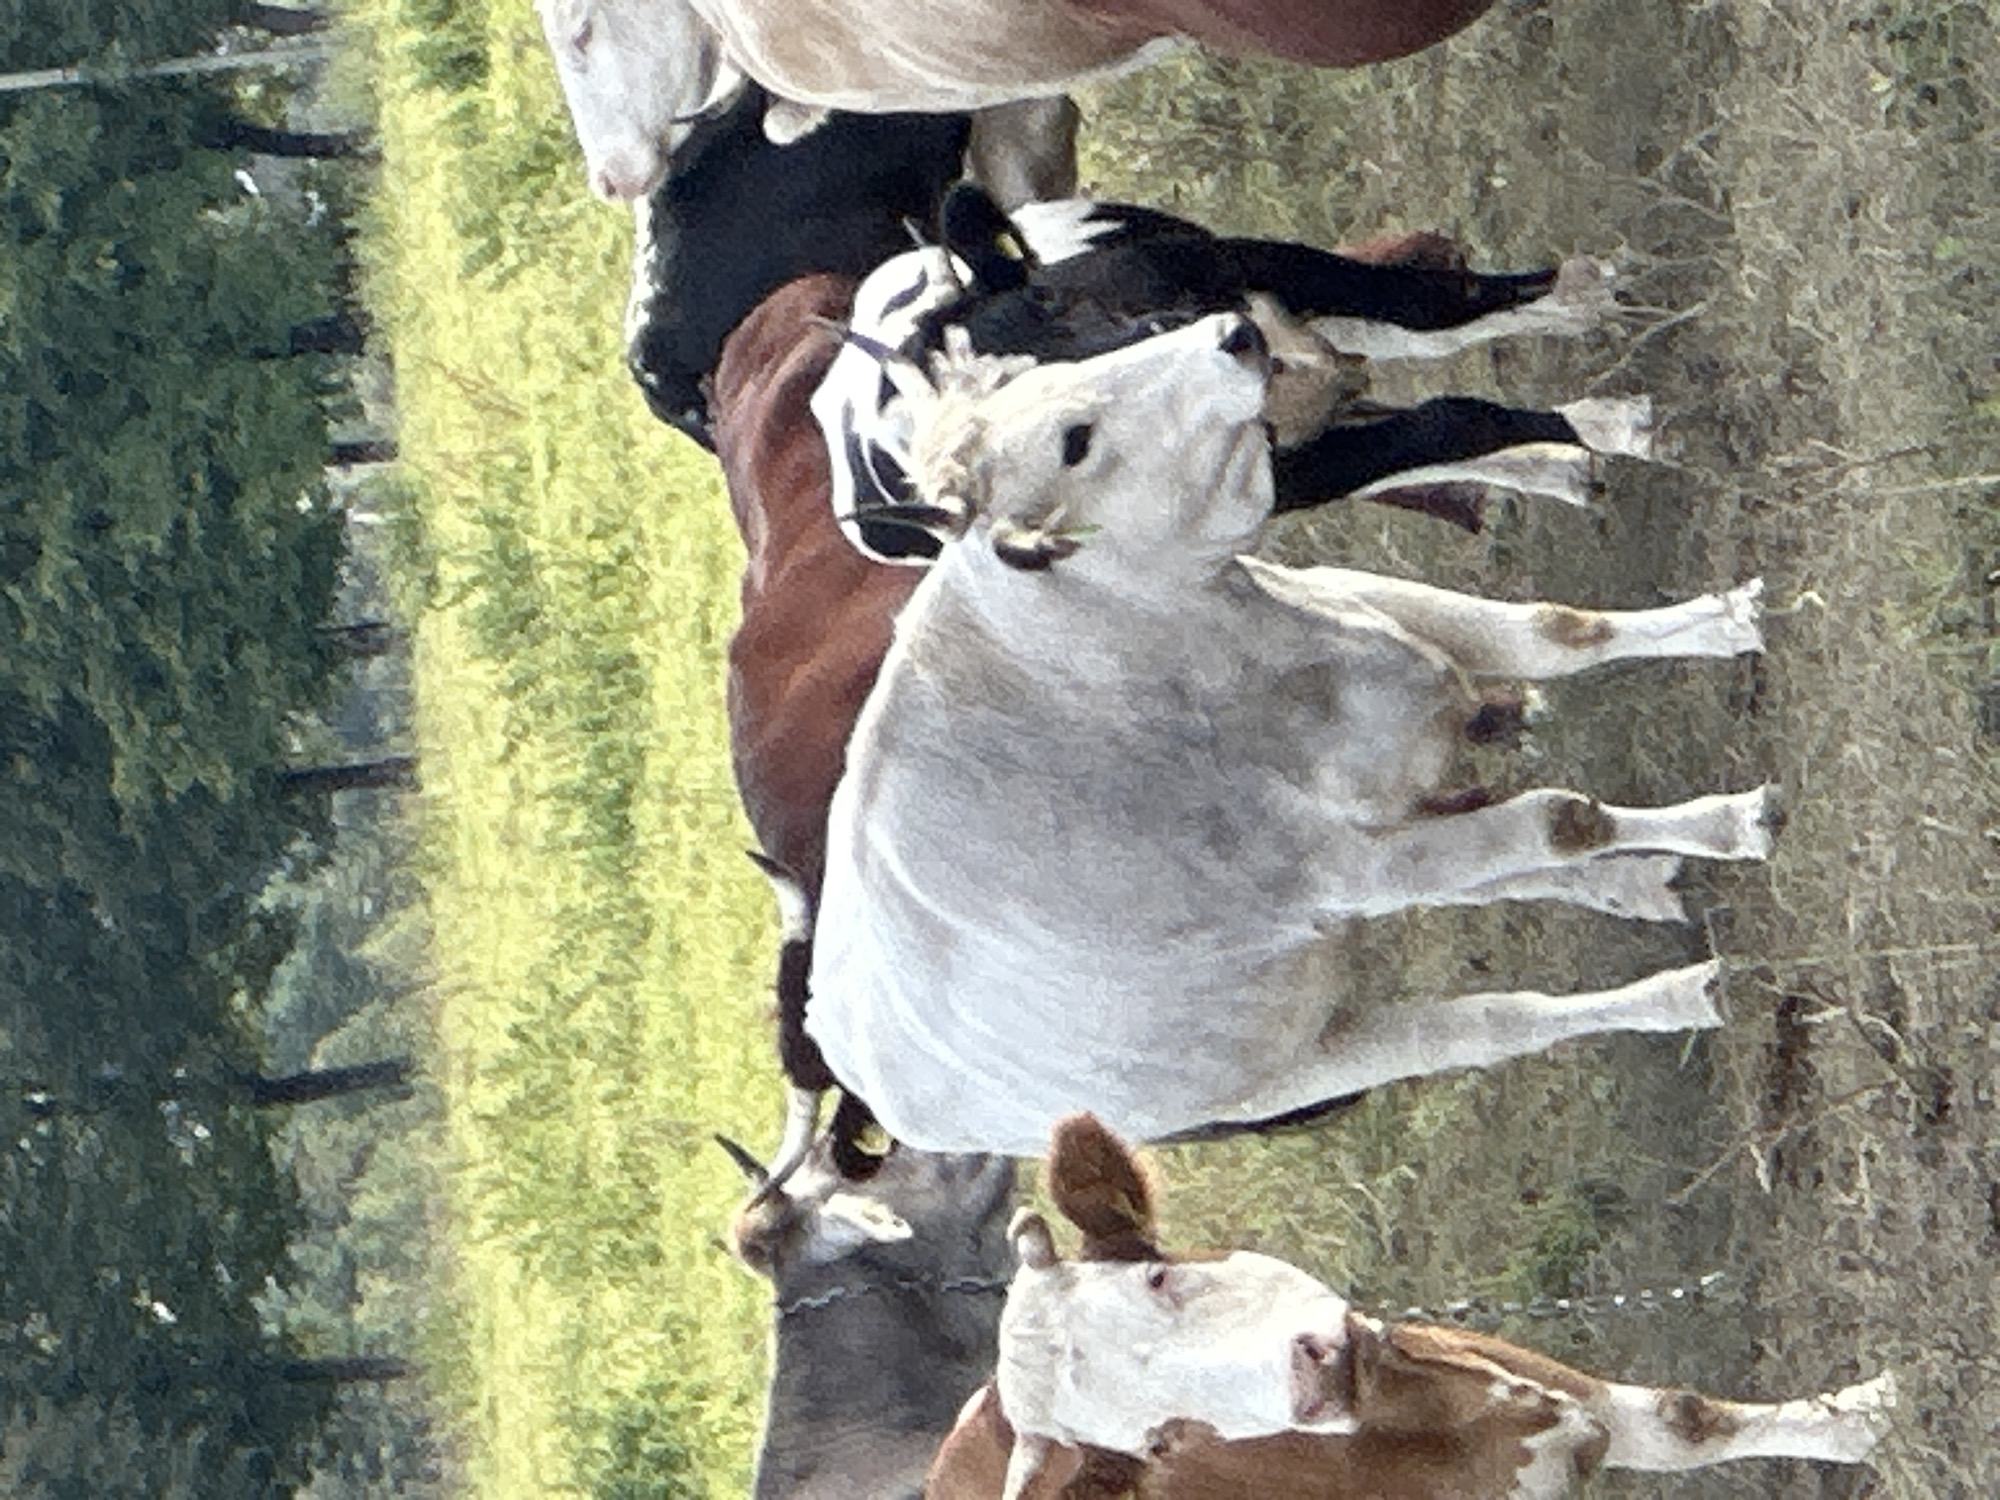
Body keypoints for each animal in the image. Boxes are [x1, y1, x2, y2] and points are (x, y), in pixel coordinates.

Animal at [804, 310, 1776, 1158]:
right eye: (1074, 440)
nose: (1235, 330)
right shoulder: (1357, 871)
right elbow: (1561, 821)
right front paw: (1733, 825)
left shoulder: (1372, 613)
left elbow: (1561, 633)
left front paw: (1726, 623)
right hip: (1293, 1065)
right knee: (1485, 1024)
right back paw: (1671, 989)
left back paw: (1637, 884)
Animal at [924, 1113, 1896, 1499]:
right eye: (1158, 1442)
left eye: (1158, 1280)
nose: (1308, 1377)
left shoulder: (1537, 1388)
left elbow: (1686, 1417)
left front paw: (1874, 1412)